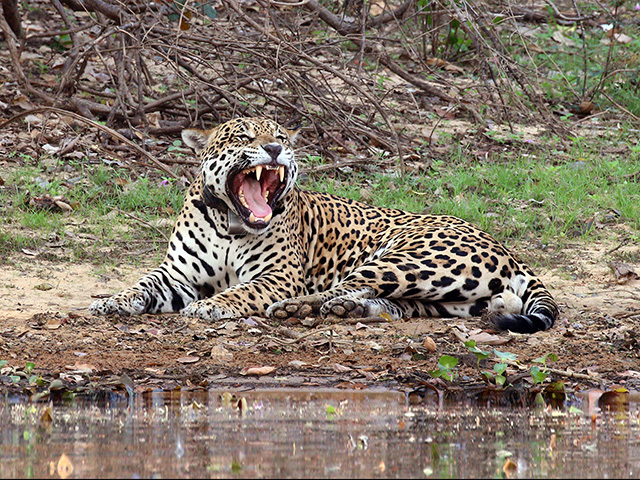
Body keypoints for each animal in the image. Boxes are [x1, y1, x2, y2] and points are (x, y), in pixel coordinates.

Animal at [89, 117, 559, 334]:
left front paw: (212, 306)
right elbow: (142, 283)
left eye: (280, 136)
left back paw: (298, 309)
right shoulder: (177, 275)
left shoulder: (278, 277)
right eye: (243, 137)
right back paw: (349, 311)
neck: (229, 222)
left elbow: (243, 291)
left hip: (409, 259)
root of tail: (506, 247)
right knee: (392, 305)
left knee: (344, 288)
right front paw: (110, 301)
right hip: (448, 298)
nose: (275, 149)